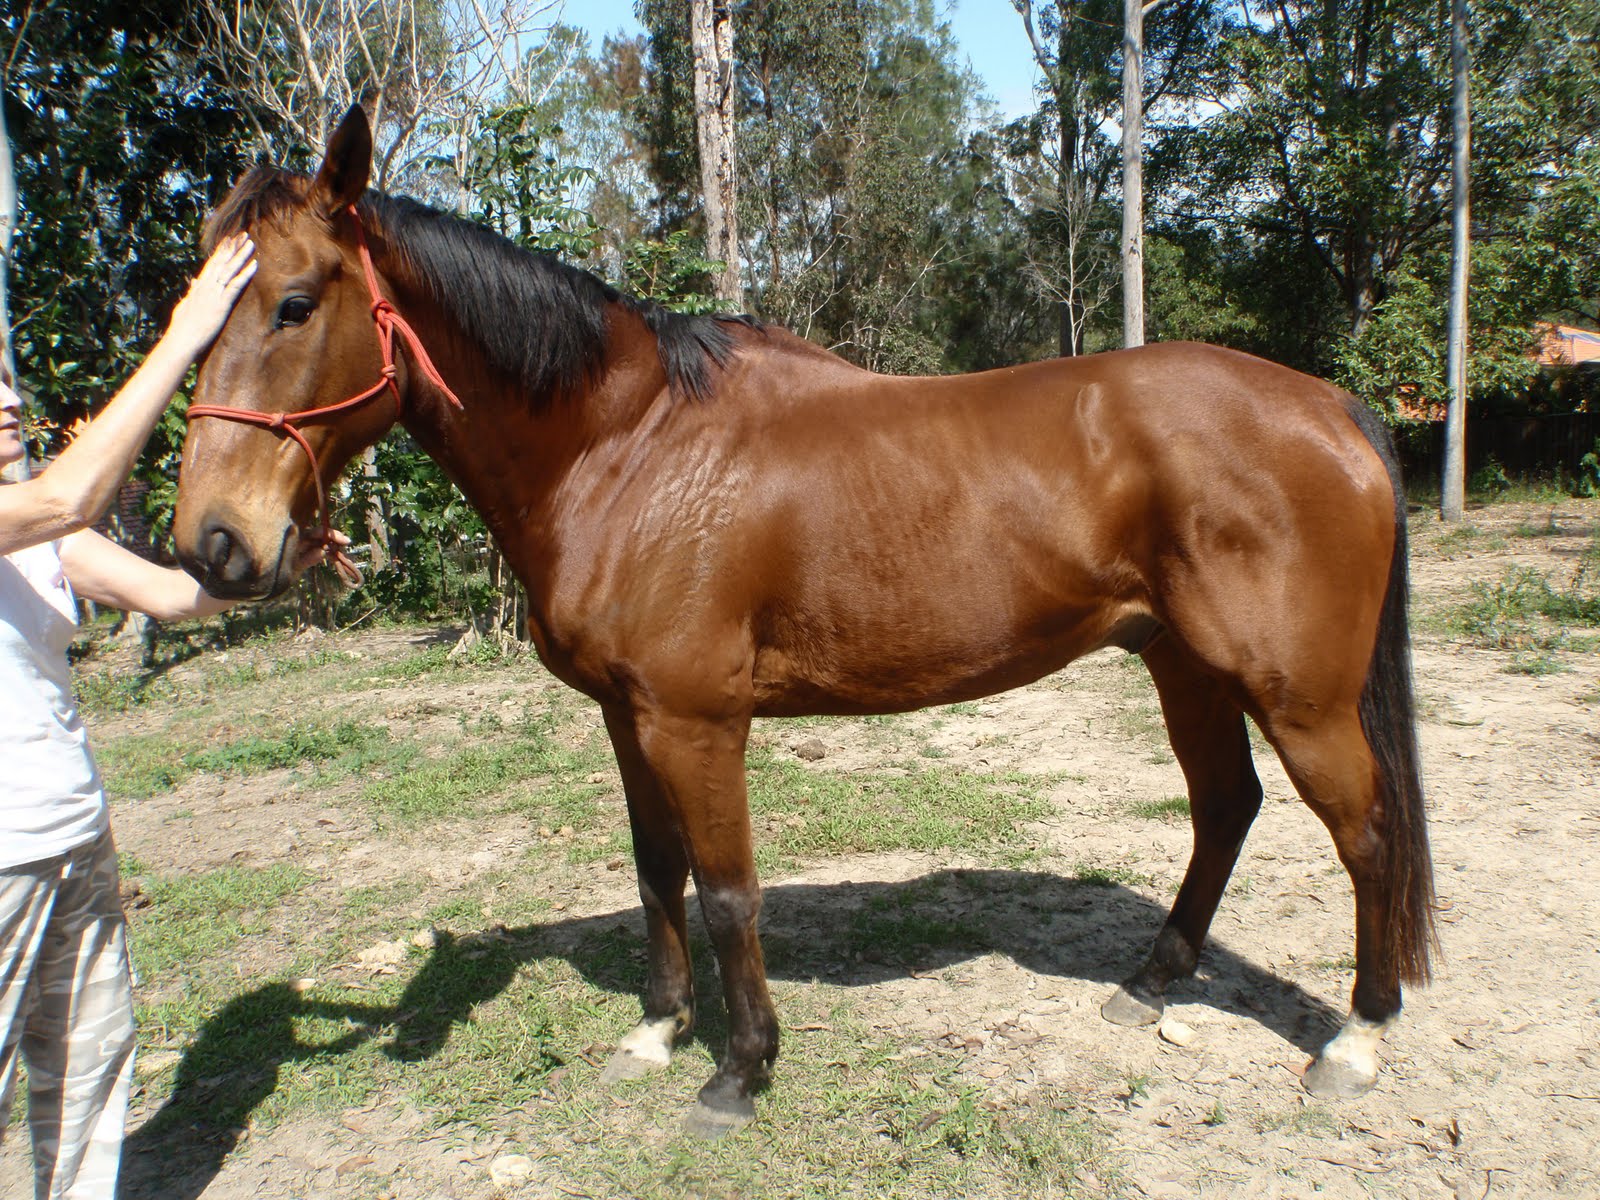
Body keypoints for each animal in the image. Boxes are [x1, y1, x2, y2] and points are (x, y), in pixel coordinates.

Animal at [172, 106, 1435, 1136]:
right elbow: (657, 869)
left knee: (1366, 833)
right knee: (1225, 807)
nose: (212, 544)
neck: (626, 449)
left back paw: (1356, 1040)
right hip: (1183, 666)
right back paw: (1153, 981)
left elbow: (729, 890)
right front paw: (658, 1030)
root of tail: (1331, 406)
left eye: (294, 305)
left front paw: (740, 1072)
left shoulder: (697, 724)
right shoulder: (627, 719)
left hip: (1298, 695)